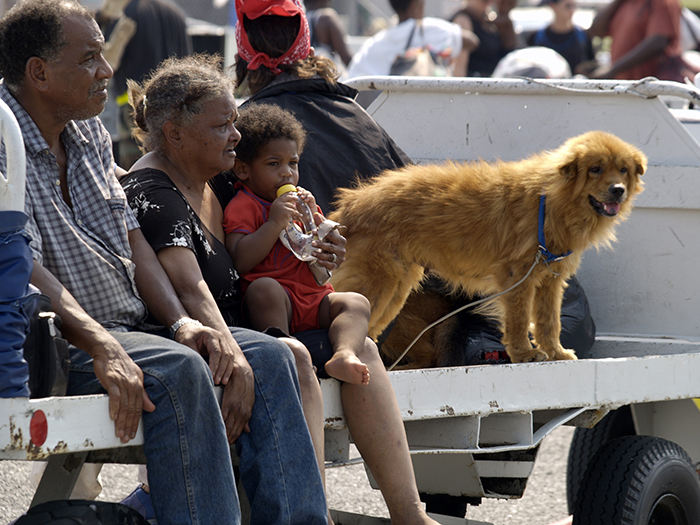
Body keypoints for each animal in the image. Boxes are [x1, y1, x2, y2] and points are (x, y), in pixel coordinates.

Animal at [330, 129, 648, 362]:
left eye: (623, 170)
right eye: (595, 169)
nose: (617, 190)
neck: (550, 200)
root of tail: (350, 206)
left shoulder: (550, 280)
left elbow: (548, 322)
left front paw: (556, 353)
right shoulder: (517, 277)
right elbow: (518, 321)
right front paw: (524, 355)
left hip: (397, 288)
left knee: (373, 328)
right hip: (380, 283)